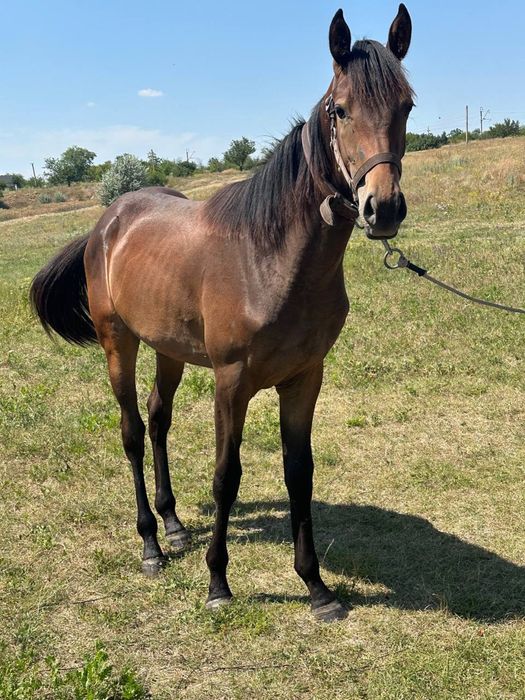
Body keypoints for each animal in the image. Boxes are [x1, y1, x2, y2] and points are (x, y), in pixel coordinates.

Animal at [30, 5, 414, 622]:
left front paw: (317, 586)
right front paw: (218, 582)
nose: (383, 208)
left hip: (168, 351)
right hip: (120, 343)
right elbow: (225, 476)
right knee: (132, 431)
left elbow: (299, 473)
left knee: (158, 420)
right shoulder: (231, 383)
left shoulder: (305, 378)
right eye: (339, 109)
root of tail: (108, 221)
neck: (269, 258)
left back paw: (173, 525)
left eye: (407, 105)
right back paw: (151, 545)